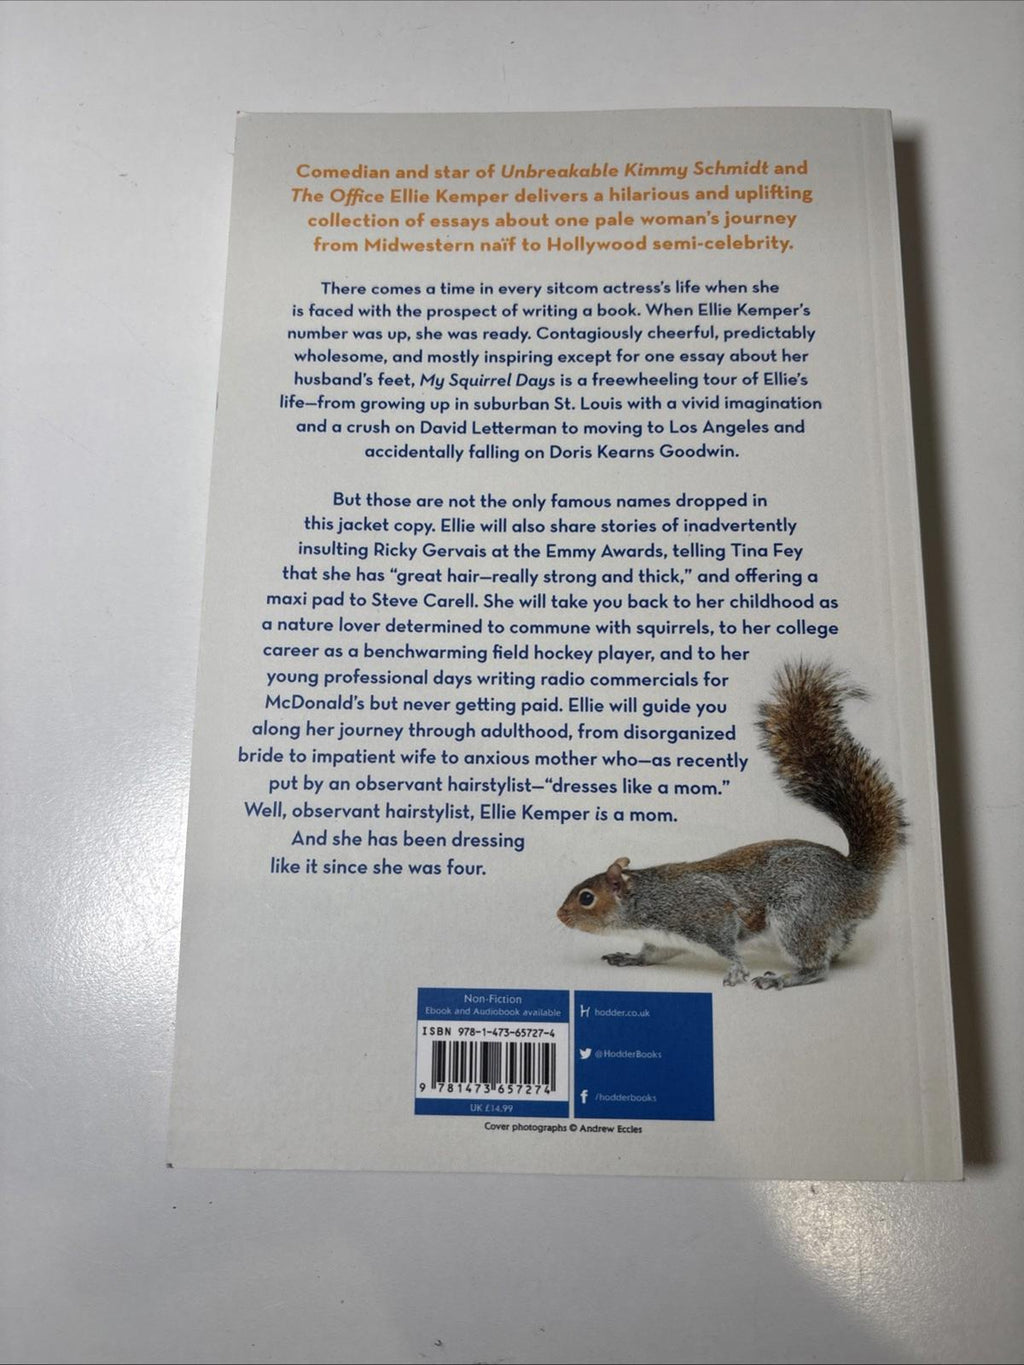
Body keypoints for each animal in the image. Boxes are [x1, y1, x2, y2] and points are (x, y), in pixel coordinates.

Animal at [555, 660, 907, 989]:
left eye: (586, 897)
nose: (559, 915)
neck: (646, 900)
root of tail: (858, 879)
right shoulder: (665, 939)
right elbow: (655, 952)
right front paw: (631, 957)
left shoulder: (705, 913)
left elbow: (728, 944)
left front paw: (737, 969)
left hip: (798, 915)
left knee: (816, 965)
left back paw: (785, 978)